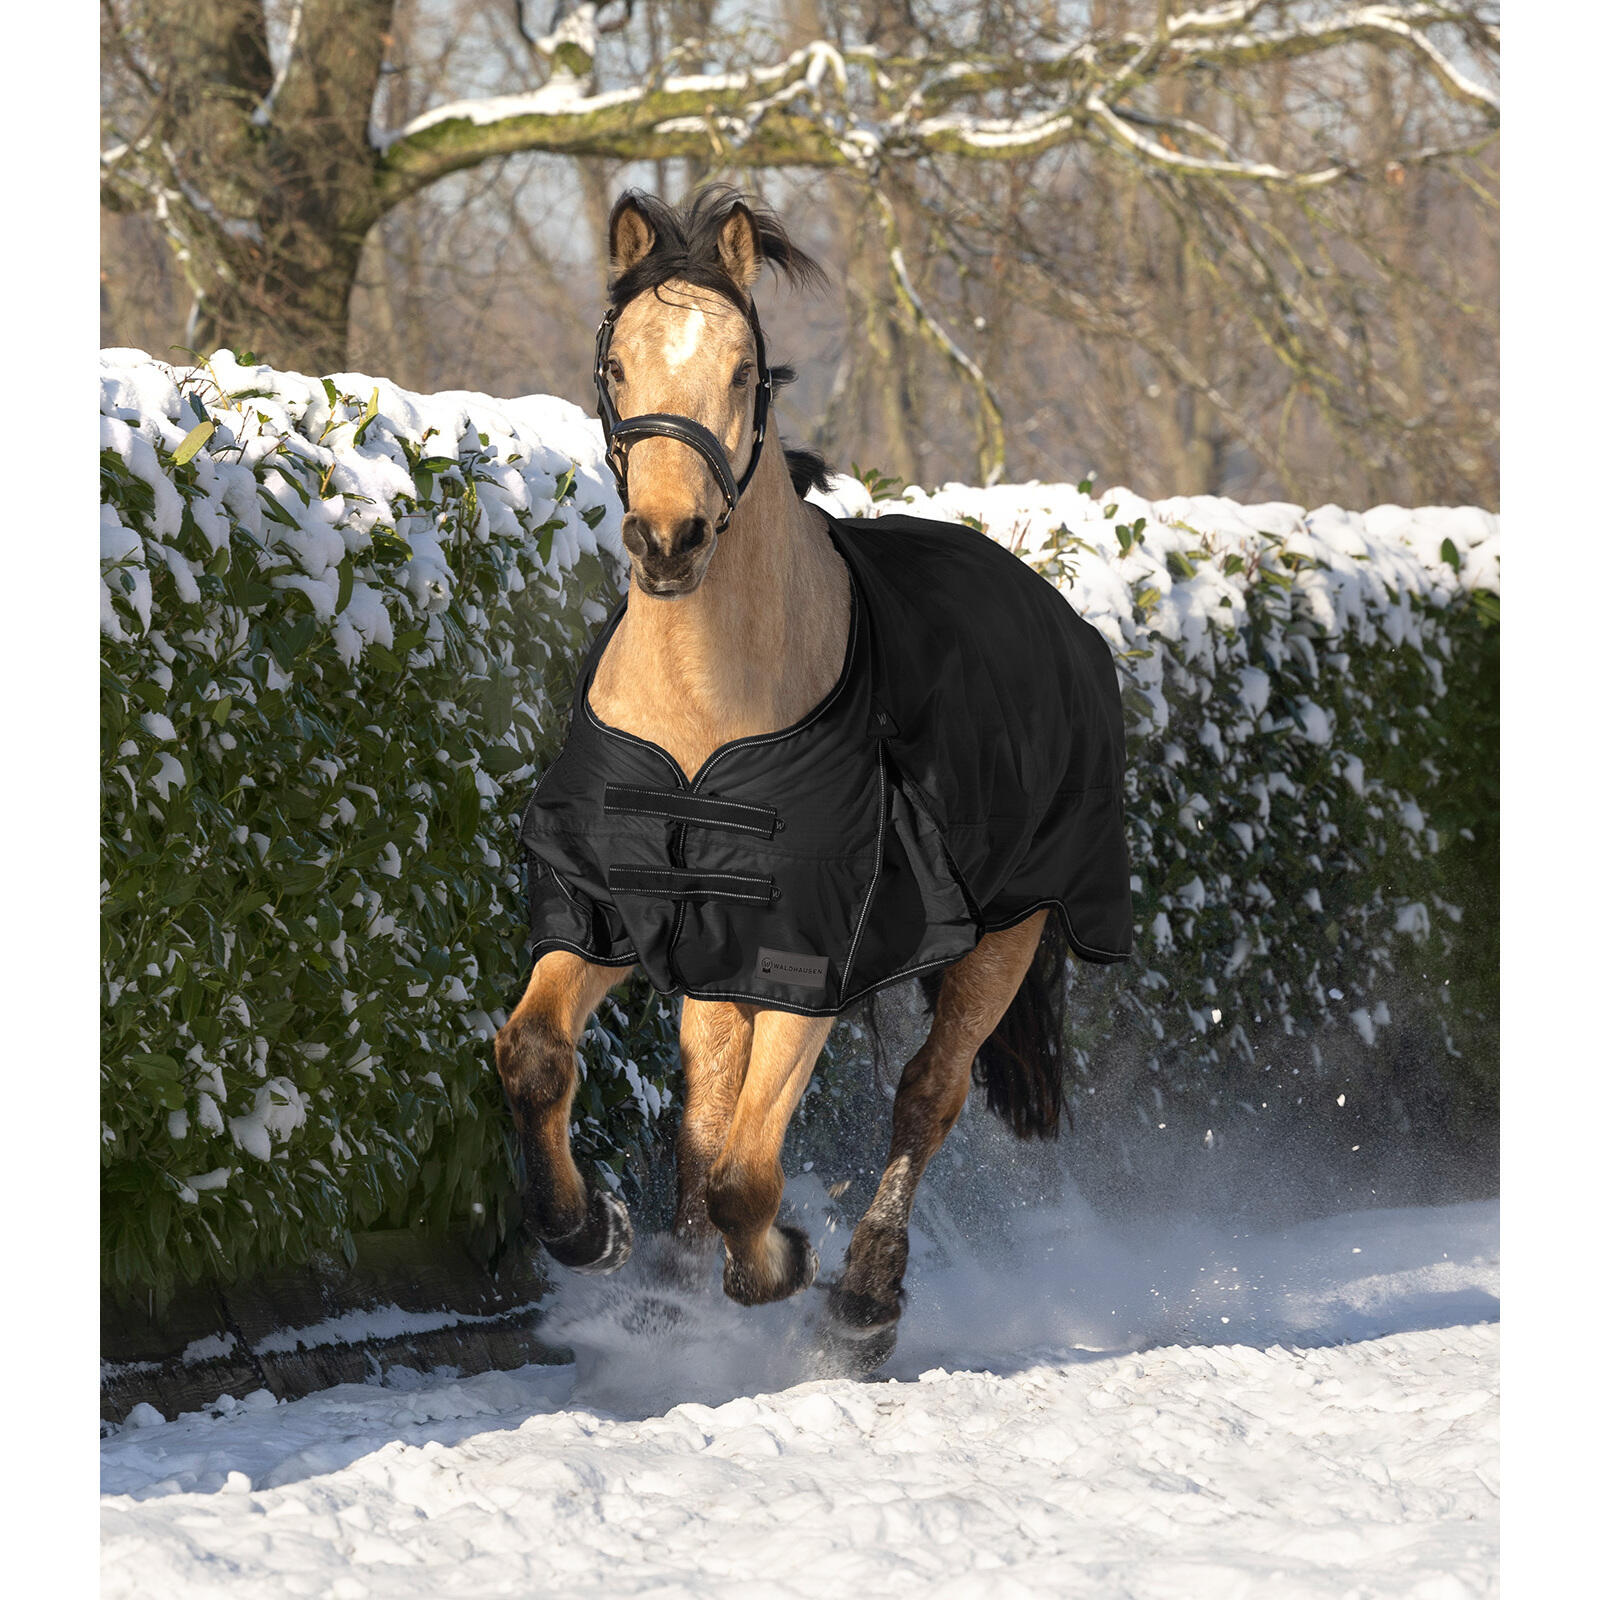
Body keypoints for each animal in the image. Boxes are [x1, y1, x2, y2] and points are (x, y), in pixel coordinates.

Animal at [496, 187, 1132, 1371]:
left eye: (747, 369)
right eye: (616, 364)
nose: (668, 540)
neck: (706, 712)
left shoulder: (813, 949)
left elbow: (755, 1168)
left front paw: (780, 1263)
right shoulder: (613, 910)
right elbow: (536, 1059)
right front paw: (590, 1229)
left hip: (1007, 933)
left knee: (925, 1096)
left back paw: (862, 1303)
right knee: (708, 1100)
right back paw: (672, 1297)